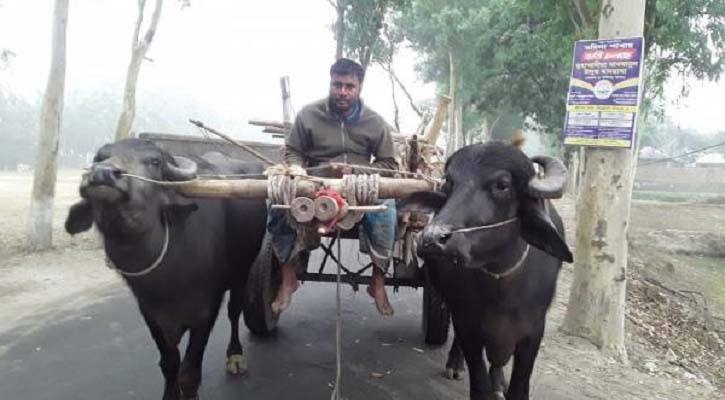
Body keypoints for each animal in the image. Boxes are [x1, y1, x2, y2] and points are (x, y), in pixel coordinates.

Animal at [66, 139, 266, 398]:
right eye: (99, 158)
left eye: (154, 162)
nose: (102, 173)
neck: (168, 281)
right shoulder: (151, 313)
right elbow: (169, 363)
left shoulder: (207, 310)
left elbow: (190, 371)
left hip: (243, 271)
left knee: (234, 311)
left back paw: (235, 356)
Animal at [398, 141, 568, 400]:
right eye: (449, 182)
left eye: (502, 185)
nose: (432, 238)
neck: (501, 287)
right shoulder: (467, 323)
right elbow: (479, 385)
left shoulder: (533, 332)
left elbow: (519, 387)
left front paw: (501, 384)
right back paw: (455, 365)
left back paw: (498, 381)